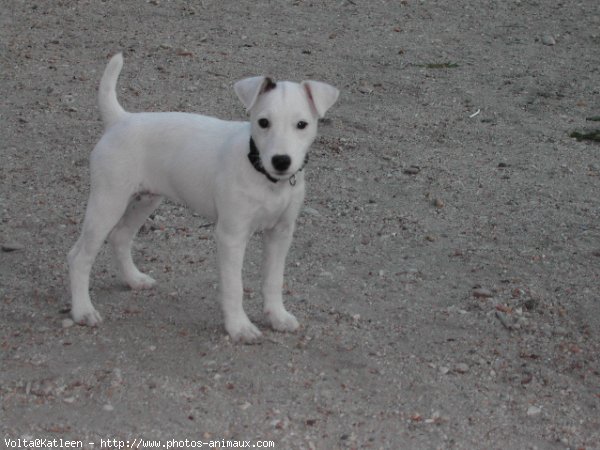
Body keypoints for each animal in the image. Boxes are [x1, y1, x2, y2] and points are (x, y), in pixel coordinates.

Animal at [68, 53, 340, 342]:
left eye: (302, 125)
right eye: (263, 122)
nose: (281, 161)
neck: (263, 175)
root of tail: (120, 120)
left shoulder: (281, 233)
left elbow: (273, 280)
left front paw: (277, 316)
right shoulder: (231, 236)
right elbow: (234, 286)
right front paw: (239, 327)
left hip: (146, 199)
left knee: (120, 236)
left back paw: (133, 279)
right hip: (108, 202)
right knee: (79, 257)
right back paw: (83, 310)